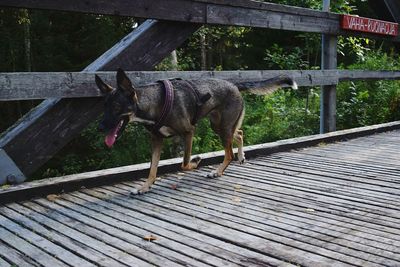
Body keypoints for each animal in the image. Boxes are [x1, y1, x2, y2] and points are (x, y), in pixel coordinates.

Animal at [94, 68, 296, 195]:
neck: (154, 103)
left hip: (223, 128)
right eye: (104, 106)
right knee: (239, 133)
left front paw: (196, 161)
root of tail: (234, 85)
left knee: (229, 152)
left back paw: (218, 171)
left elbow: (184, 163)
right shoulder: (156, 140)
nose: (100, 128)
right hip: (219, 126)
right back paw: (241, 156)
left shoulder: (189, 132)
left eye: (117, 106)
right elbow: (152, 168)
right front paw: (144, 187)